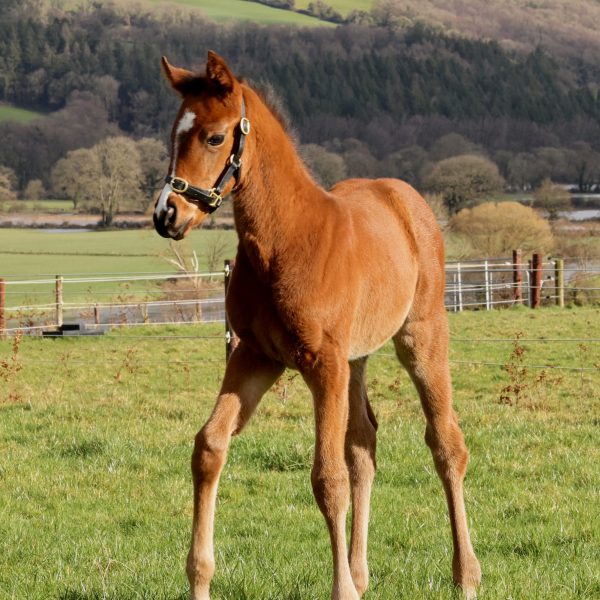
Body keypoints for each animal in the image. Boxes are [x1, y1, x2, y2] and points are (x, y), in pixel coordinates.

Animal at [152, 52, 480, 600]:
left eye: (215, 138)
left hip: (421, 336)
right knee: (364, 444)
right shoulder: (255, 356)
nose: (167, 214)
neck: (283, 241)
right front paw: (199, 577)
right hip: (357, 357)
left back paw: (466, 575)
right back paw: (363, 574)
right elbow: (209, 447)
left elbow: (328, 479)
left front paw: (341, 589)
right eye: (174, 134)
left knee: (446, 445)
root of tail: (404, 196)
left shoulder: (322, 364)